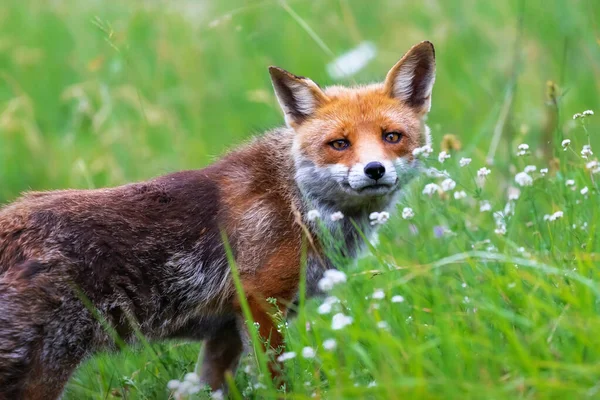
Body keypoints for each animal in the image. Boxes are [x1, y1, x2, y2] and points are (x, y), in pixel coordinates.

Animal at [0, 39, 434, 396]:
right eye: (339, 144)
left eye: (391, 137)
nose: (375, 170)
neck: (296, 202)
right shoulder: (261, 302)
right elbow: (277, 379)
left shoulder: (225, 330)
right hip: (44, 371)